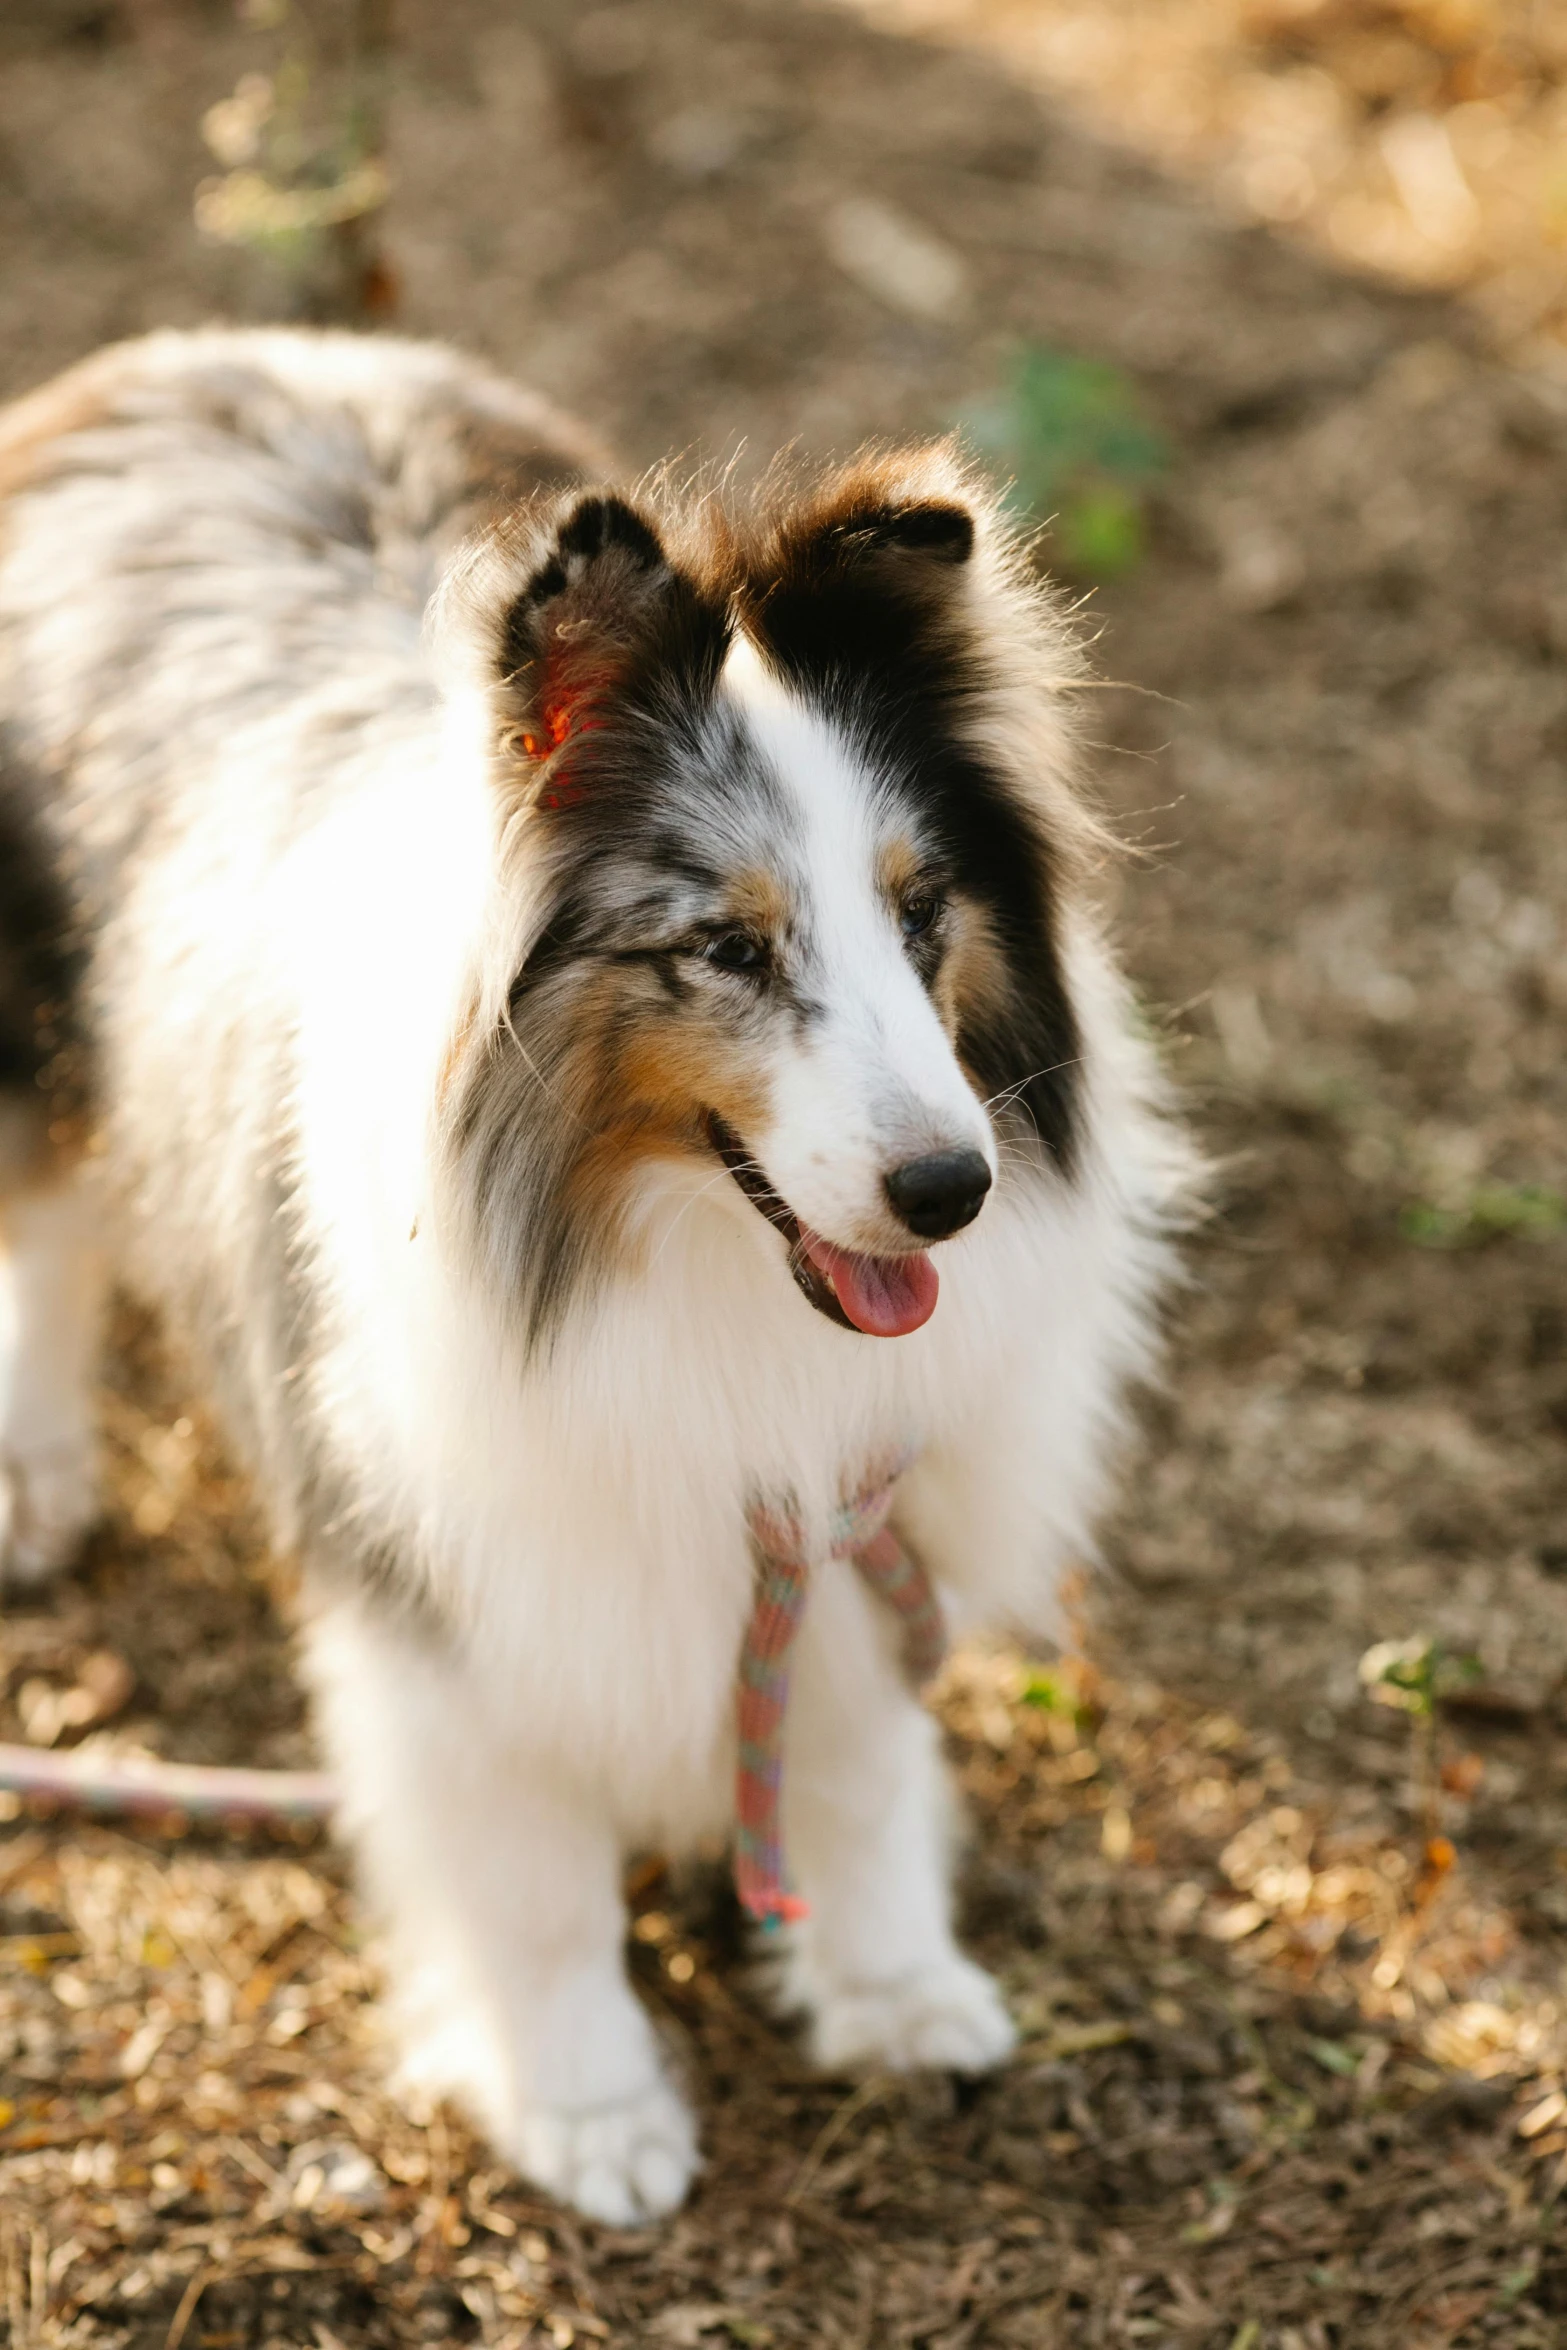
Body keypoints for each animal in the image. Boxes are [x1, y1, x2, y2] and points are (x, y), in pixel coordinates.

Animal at [0, 326, 1184, 2218]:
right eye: (725, 946)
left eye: (922, 912)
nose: (950, 1192)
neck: (672, 1259)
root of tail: (183, 355)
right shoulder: (443, 1585)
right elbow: (533, 1870)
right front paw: (589, 2108)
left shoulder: (839, 1515)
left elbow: (849, 1772)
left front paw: (887, 1989)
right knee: (44, 1209)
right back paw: (34, 1473)